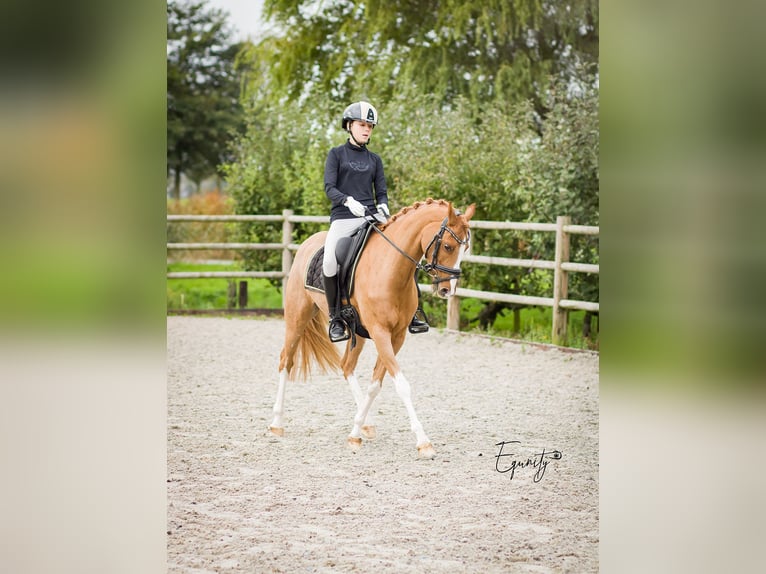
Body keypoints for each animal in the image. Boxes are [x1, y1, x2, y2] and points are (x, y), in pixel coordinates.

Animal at [268, 198, 476, 458]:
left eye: (465, 249)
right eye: (448, 246)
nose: (447, 290)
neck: (390, 269)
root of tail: (308, 243)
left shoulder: (396, 337)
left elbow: (375, 385)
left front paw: (356, 432)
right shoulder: (380, 333)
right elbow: (402, 386)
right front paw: (423, 442)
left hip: (356, 332)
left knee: (346, 366)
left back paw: (365, 423)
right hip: (298, 316)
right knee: (285, 360)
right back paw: (276, 423)